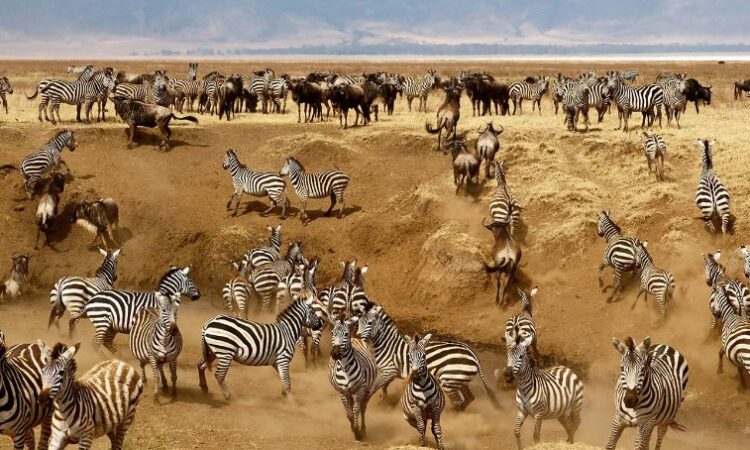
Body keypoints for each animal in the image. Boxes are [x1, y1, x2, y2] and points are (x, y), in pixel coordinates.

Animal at [357, 304, 499, 410]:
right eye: (359, 322)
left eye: (369, 323)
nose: (357, 335)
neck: (388, 345)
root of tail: (472, 354)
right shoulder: (391, 373)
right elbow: (384, 388)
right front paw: (386, 401)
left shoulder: (389, 371)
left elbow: (373, 388)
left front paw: (372, 403)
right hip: (458, 380)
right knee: (469, 398)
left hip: (448, 380)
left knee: (459, 400)